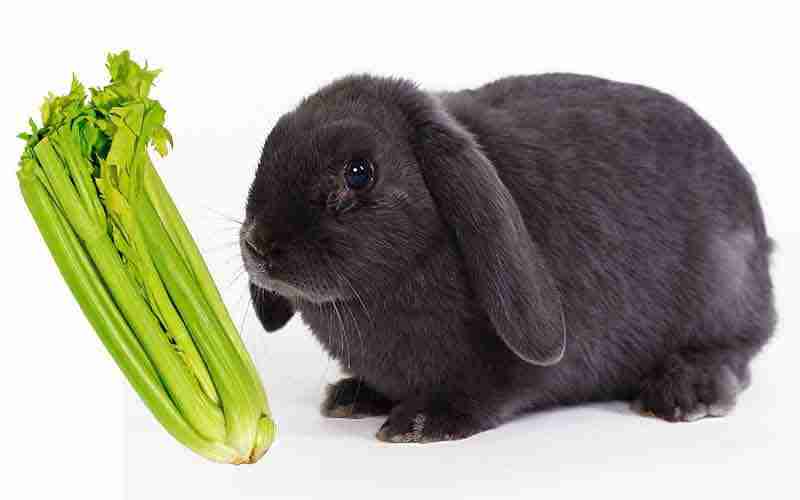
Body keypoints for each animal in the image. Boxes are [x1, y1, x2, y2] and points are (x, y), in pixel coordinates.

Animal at [241, 73, 775, 443]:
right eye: (266, 153)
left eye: (358, 172)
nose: (259, 244)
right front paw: (354, 396)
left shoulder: (503, 369)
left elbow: (489, 389)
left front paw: (420, 423)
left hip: (723, 297)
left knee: (735, 352)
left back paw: (684, 394)